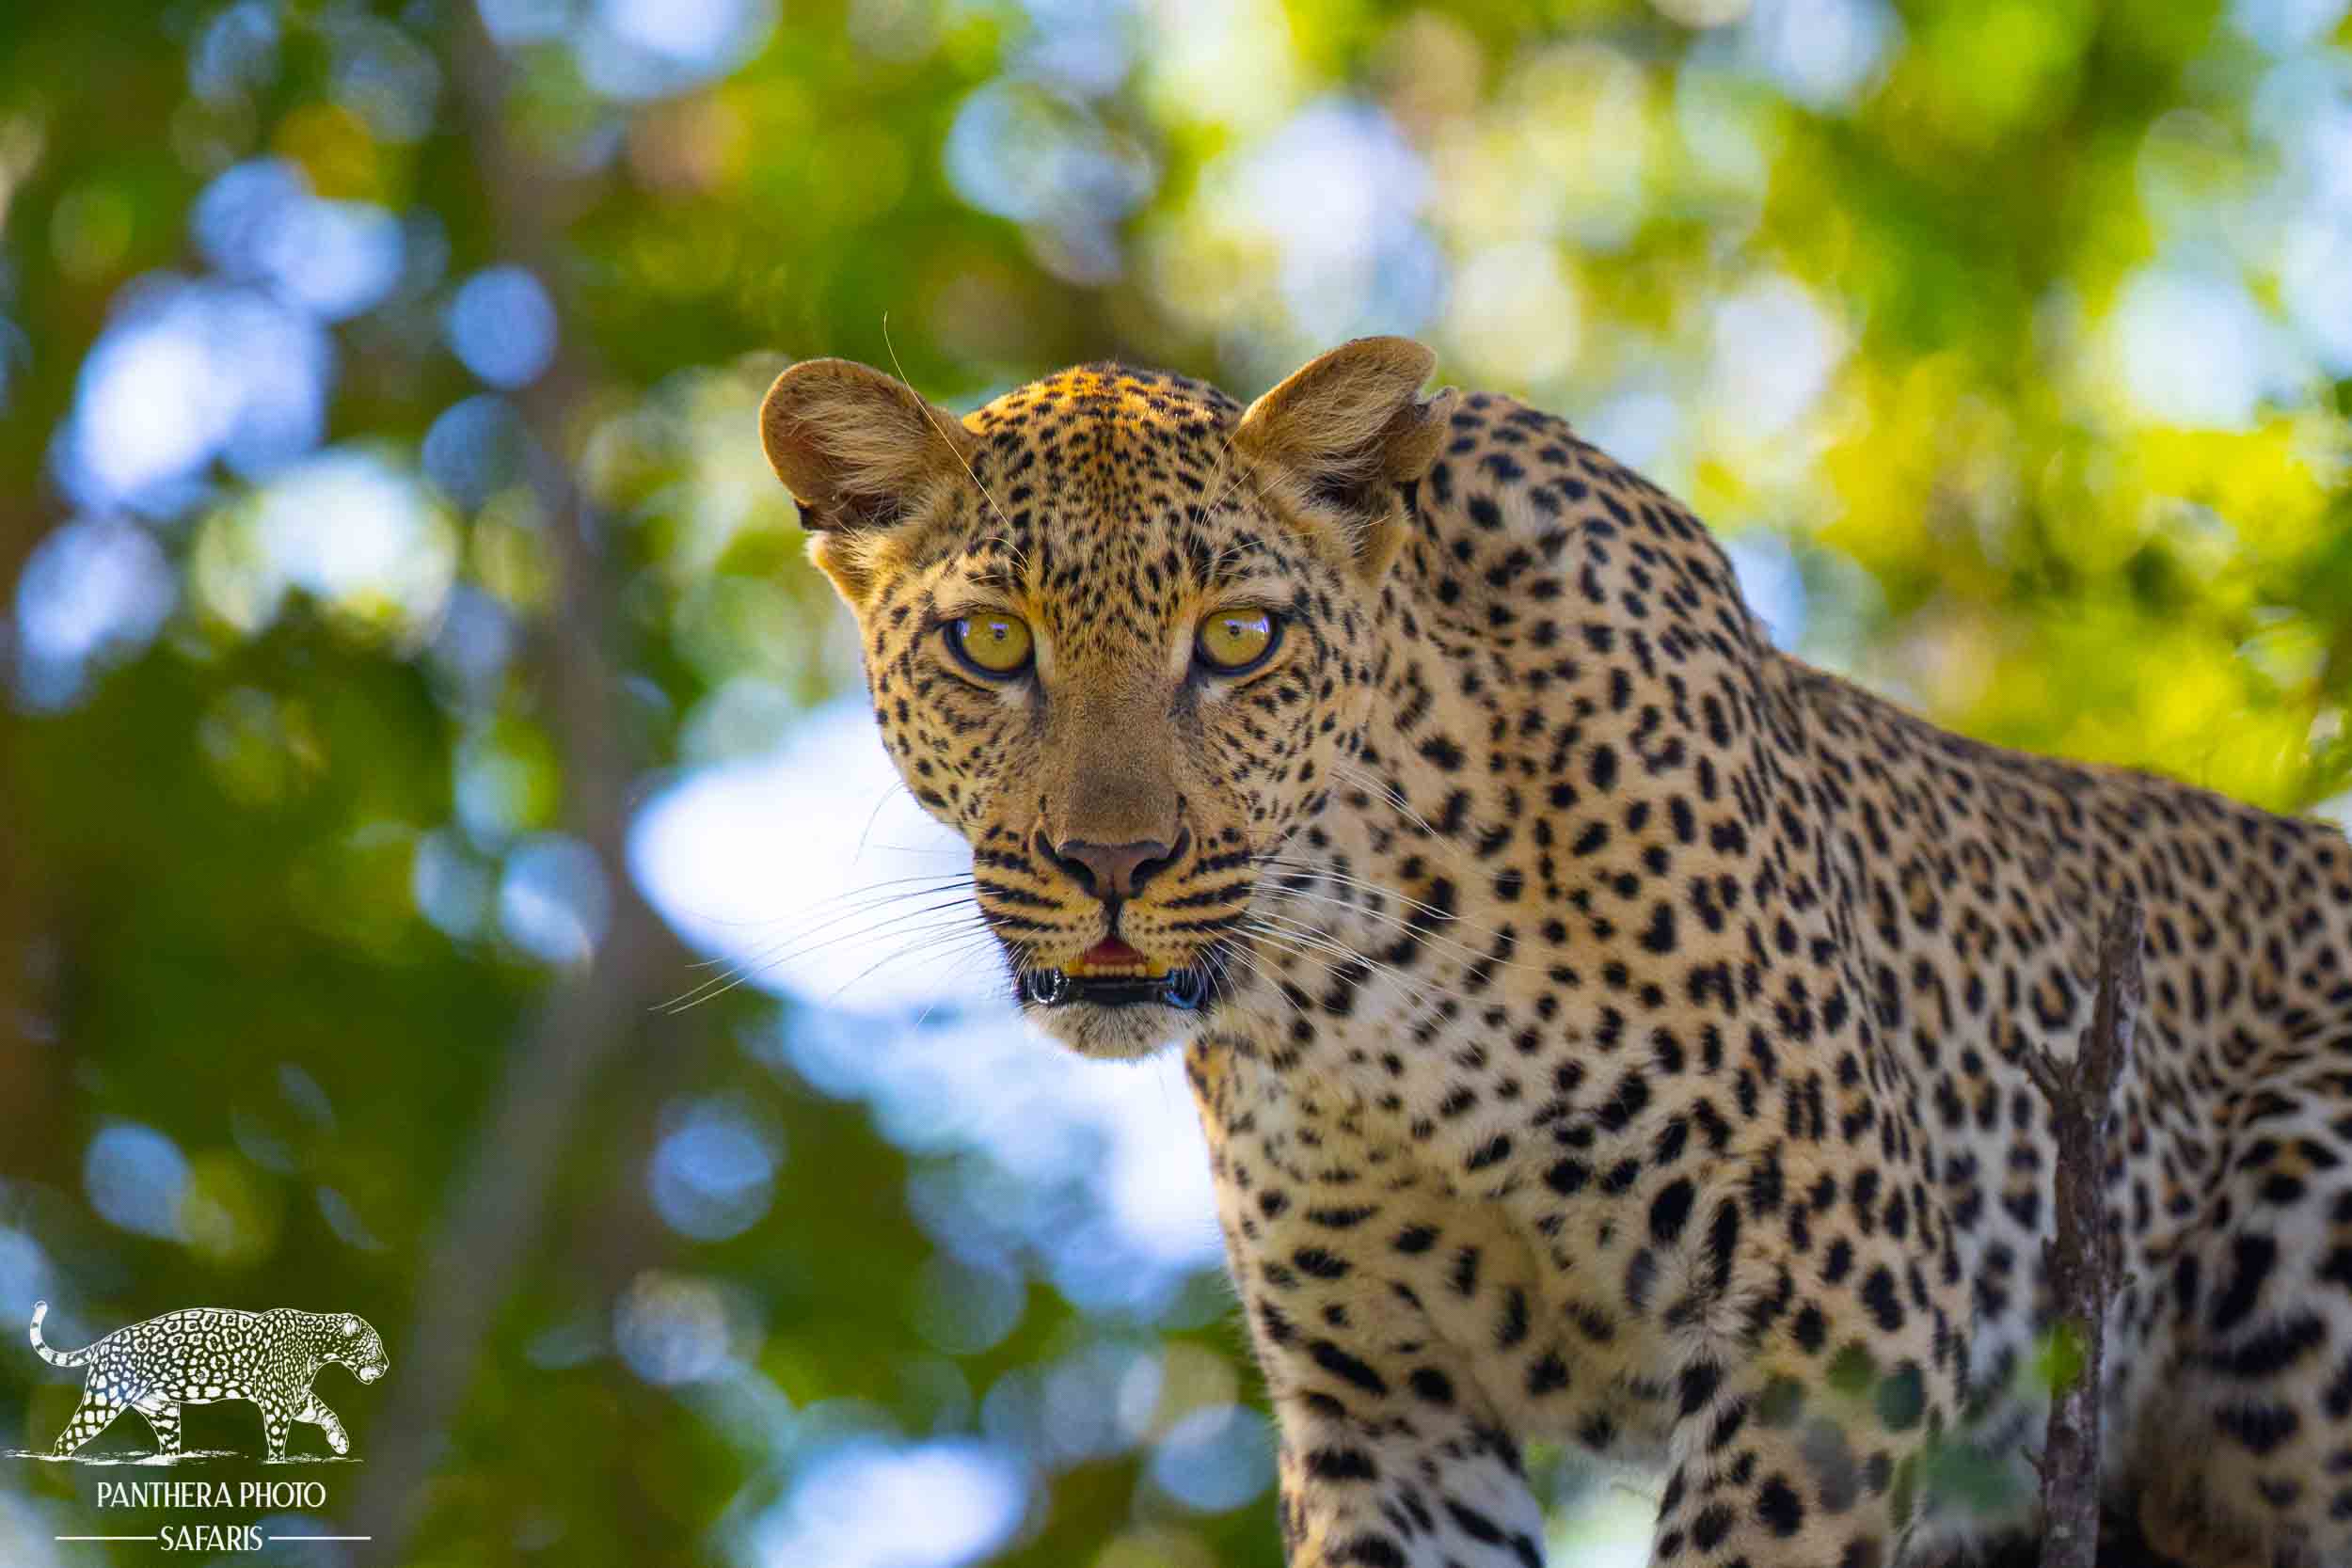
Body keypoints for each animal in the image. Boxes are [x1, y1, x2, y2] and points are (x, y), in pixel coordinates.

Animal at [30, 1299, 389, 1460]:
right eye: (376, 1345)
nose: (386, 1366)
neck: (319, 1347)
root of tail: (103, 1342)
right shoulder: (277, 1402)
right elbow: (277, 1439)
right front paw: (277, 1462)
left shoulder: (296, 1397)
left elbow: (326, 1412)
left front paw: (340, 1441)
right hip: (104, 1401)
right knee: (67, 1439)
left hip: (163, 1412)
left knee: (168, 1445)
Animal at [758, 335, 2352, 1567]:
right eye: (988, 642)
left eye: (1242, 636)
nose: (1112, 863)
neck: (1358, 973)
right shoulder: (1384, 1405)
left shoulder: (1842, 1292)